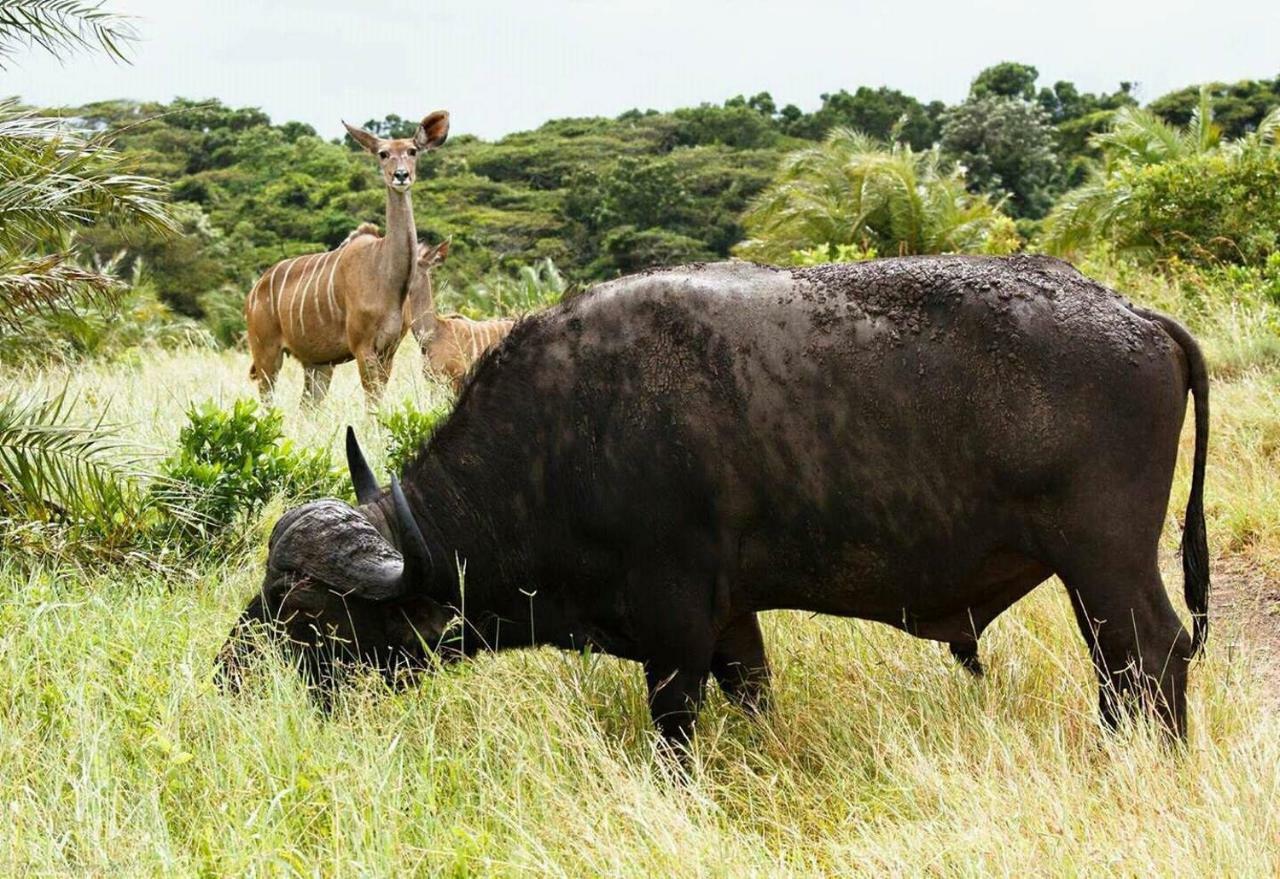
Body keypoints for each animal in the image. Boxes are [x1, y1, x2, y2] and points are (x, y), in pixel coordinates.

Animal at [220, 258, 1208, 747]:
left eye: (304, 608)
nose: (231, 676)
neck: (561, 439)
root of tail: (1137, 317)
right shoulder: (736, 623)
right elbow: (758, 700)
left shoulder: (676, 637)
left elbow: (675, 737)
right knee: (1122, 668)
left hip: (1106, 562)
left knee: (1152, 654)